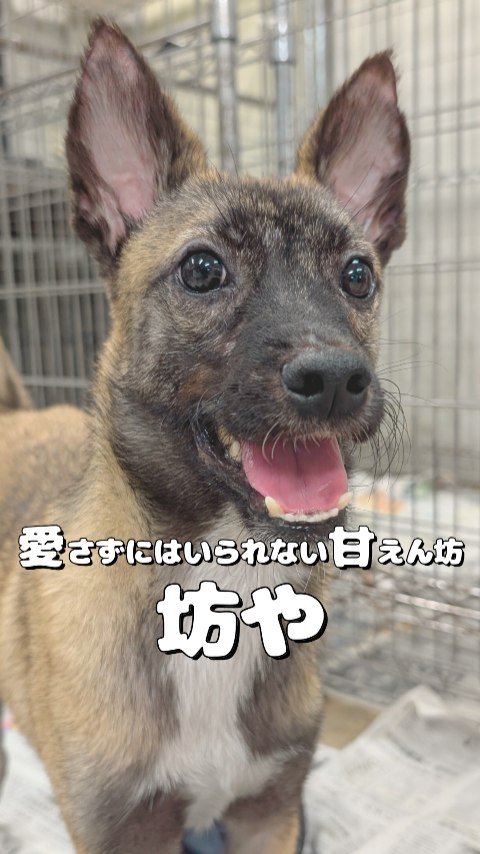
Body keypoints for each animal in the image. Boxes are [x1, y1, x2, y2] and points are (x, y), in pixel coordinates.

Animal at [0, 19, 409, 854]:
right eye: (201, 268)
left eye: (358, 274)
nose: (334, 379)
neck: (228, 577)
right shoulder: (120, 833)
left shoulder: (271, 811)